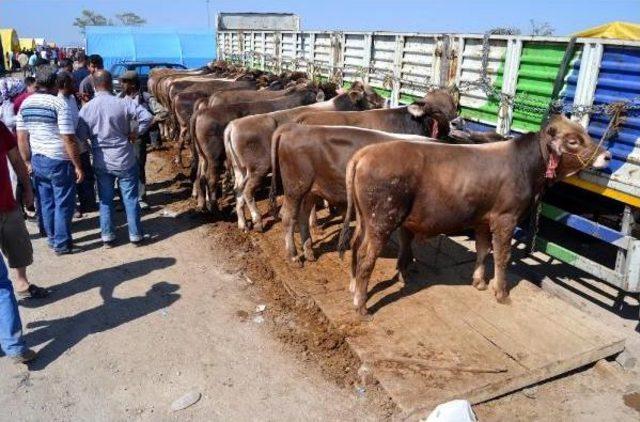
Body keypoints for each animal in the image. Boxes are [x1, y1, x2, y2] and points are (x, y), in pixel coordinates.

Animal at [192, 84, 328, 213]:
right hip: (215, 159)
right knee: (211, 179)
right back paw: (214, 206)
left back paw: (203, 203)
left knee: (201, 176)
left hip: (204, 156)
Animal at [225, 81, 384, 232]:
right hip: (258, 168)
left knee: (238, 190)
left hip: (240, 169)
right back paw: (257, 222)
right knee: (247, 191)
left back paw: (243, 224)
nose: (384, 101)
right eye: (371, 95)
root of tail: (233, 125)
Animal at [340, 114, 608, 314]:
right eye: (573, 140)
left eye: (586, 133)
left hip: (366, 219)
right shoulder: (506, 218)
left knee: (355, 244)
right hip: (382, 220)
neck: (526, 166)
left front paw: (479, 281)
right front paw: (501, 292)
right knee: (366, 256)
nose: (607, 155)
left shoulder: (482, 219)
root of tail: (366, 153)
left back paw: (353, 287)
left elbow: (483, 249)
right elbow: (502, 255)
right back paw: (361, 304)